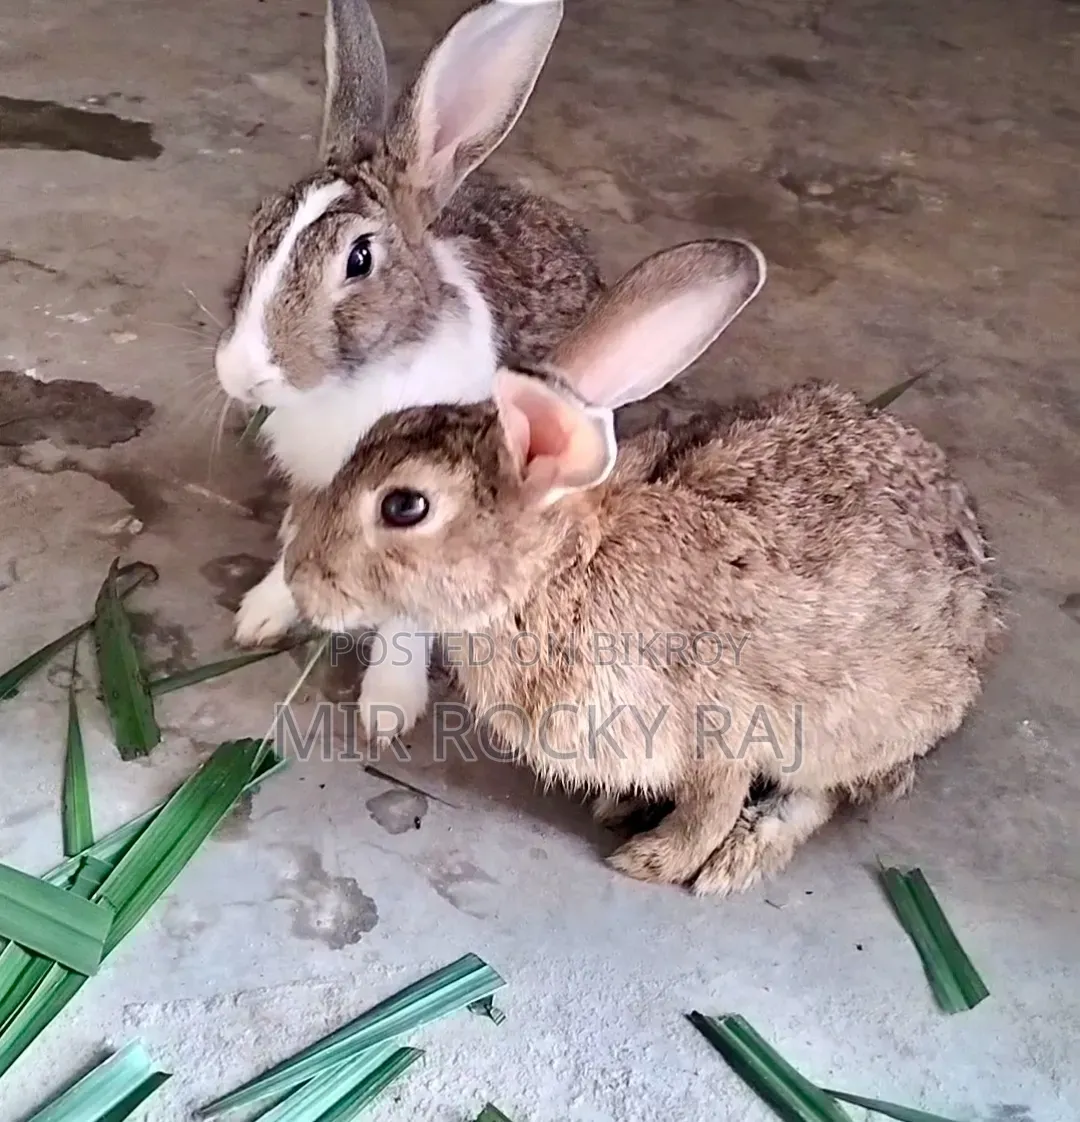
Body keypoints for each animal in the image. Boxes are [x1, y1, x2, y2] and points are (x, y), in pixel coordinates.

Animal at [212, 0, 604, 738]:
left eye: (359, 260)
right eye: (254, 234)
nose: (242, 375)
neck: (355, 385)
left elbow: (411, 613)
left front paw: (387, 709)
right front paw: (262, 614)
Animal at [279, 237, 1006, 897]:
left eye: (404, 506)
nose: (299, 579)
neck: (558, 573)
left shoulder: (719, 724)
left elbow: (713, 805)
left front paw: (656, 863)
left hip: (852, 729)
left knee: (822, 794)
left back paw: (736, 856)